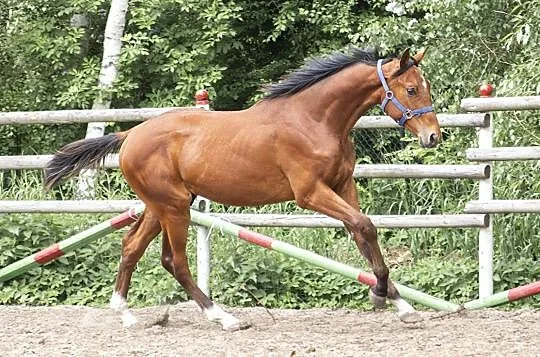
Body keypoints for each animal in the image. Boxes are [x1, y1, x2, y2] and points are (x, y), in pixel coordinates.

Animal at [44, 48, 440, 330]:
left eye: (425, 88)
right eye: (411, 89)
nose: (433, 137)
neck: (314, 120)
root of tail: (130, 135)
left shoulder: (343, 186)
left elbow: (363, 234)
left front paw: (400, 304)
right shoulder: (311, 193)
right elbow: (364, 226)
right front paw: (381, 296)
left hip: (162, 206)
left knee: (131, 247)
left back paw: (125, 314)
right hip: (174, 207)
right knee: (175, 261)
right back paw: (224, 318)